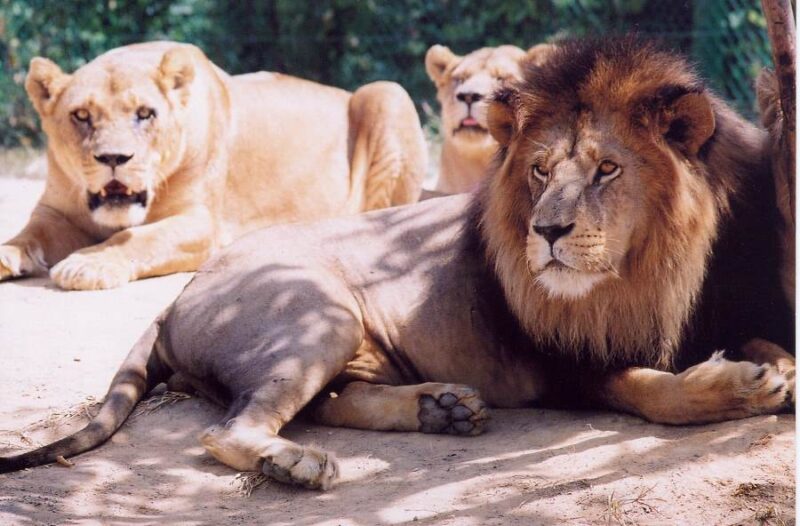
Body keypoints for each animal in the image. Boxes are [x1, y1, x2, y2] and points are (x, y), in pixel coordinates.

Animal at [0, 41, 426, 290]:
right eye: (82, 115)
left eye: (145, 113)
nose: (114, 158)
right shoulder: (55, 211)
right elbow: (28, 233)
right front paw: (8, 255)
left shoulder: (202, 222)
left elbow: (138, 237)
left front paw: (88, 264)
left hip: (388, 93)